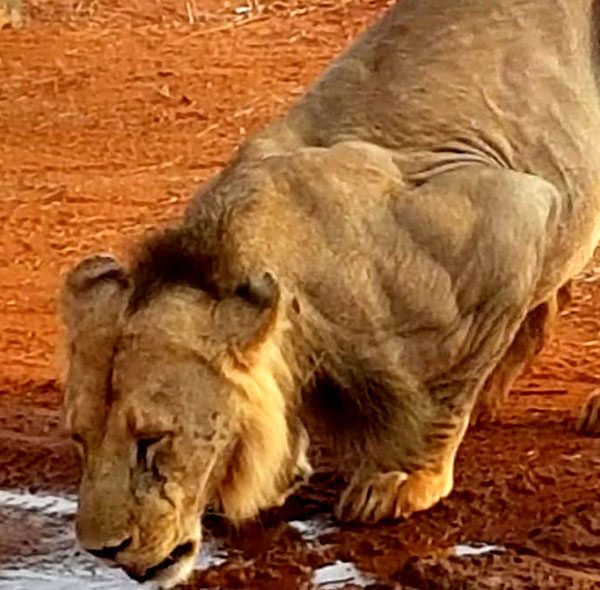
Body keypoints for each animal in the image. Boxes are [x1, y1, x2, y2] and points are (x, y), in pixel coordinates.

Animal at [59, 0, 600, 587]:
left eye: (155, 441)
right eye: (79, 439)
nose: (102, 550)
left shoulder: (515, 212)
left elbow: (446, 391)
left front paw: (402, 478)